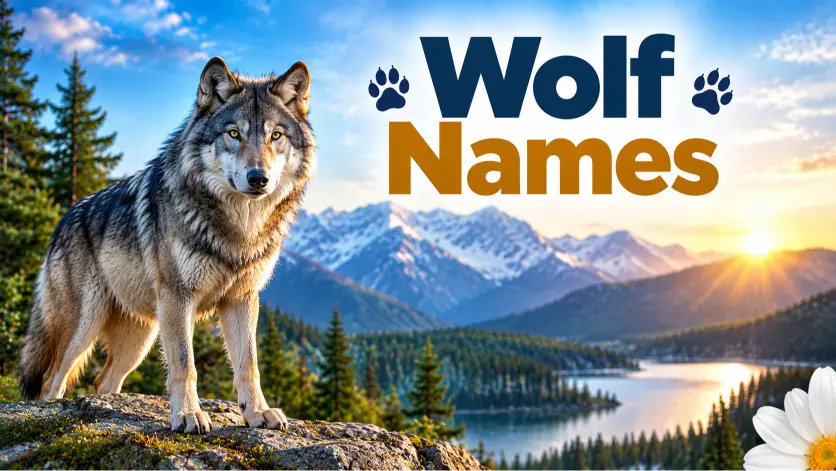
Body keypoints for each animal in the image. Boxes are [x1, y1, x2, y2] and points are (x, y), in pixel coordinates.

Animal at [19, 57, 314, 434]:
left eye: (275, 135)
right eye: (234, 134)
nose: (258, 178)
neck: (239, 227)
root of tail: (62, 220)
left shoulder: (242, 299)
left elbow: (249, 364)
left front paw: (258, 413)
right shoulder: (178, 298)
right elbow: (185, 365)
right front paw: (188, 415)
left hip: (139, 339)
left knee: (102, 381)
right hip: (83, 327)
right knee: (50, 383)